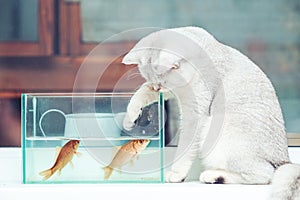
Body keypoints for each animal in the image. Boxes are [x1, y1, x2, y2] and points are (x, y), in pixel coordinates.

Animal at [121, 27, 300, 200]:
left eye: (163, 81)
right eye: (152, 80)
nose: (157, 88)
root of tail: (285, 160)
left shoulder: (194, 114)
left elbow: (184, 150)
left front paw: (176, 174)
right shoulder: (173, 92)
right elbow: (141, 92)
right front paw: (129, 119)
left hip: (219, 133)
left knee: (265, 175)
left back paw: (213, 176)